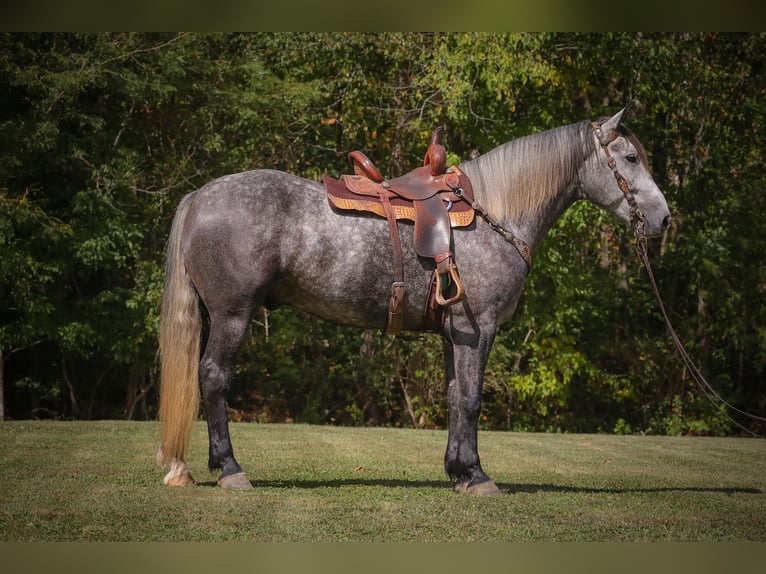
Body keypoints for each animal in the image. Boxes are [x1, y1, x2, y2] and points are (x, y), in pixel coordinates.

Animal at [157, 107, 671, 495]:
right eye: (630, 157)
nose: (664, 218)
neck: (495, 212)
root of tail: (200, 196)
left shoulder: (454, 334)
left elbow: (453, 397)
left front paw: (458, 471)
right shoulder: (479, 329)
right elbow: (472, 399)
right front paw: (477, 475)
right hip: (232, 315)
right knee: (214, 378)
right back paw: (230, 469)